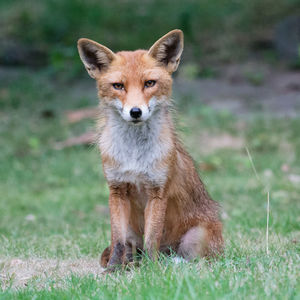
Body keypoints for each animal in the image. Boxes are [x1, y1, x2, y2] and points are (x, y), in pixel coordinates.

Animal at [77, 29, 223, 270]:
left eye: (149, 83)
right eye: (118, 86)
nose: (135, 112)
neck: (134, 156)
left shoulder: (157, 191)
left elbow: (152, 238)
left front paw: (151, 270)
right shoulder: (116, 190)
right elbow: (117, 241)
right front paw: (113, 270)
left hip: (195, 239)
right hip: (131, 230)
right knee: (128, 248)